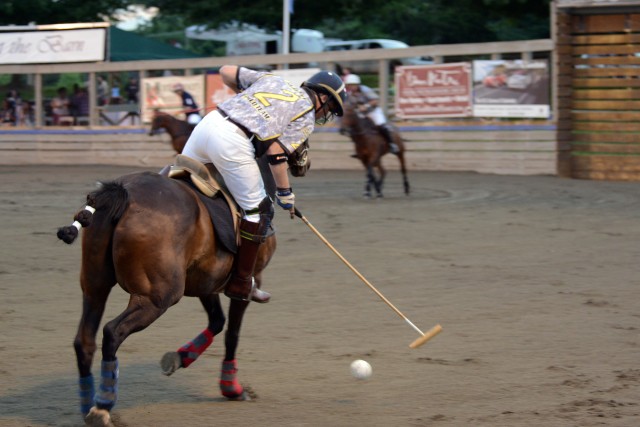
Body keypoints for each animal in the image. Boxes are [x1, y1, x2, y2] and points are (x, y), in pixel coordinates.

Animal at [60, 171, 278, 427]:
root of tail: (121, 194)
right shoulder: (245, 283)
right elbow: (232, 333)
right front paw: (232, 389)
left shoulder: (205, 282)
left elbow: (217, 321)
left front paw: (179, 358)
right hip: (157, 297)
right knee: (113, 332)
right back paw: (103, 406)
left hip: (95, 285)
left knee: (84, 340)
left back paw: (89, 406)